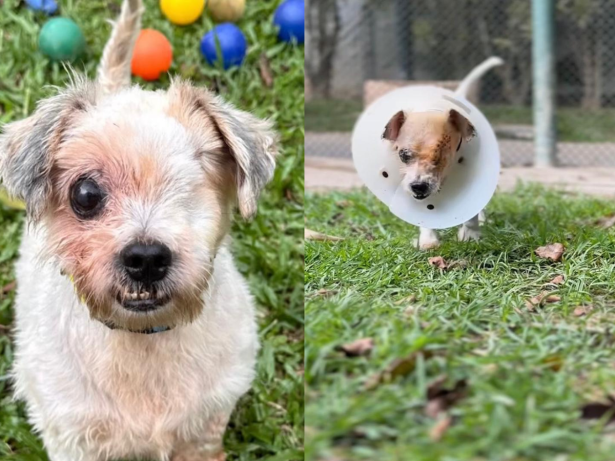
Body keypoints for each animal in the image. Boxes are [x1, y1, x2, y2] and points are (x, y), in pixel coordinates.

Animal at [0, 0, 276, 460]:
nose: (146, 259)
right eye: (85, 193)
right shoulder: (73, 437)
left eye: (191, 184)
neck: (143, 340)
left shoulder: (206, 424)